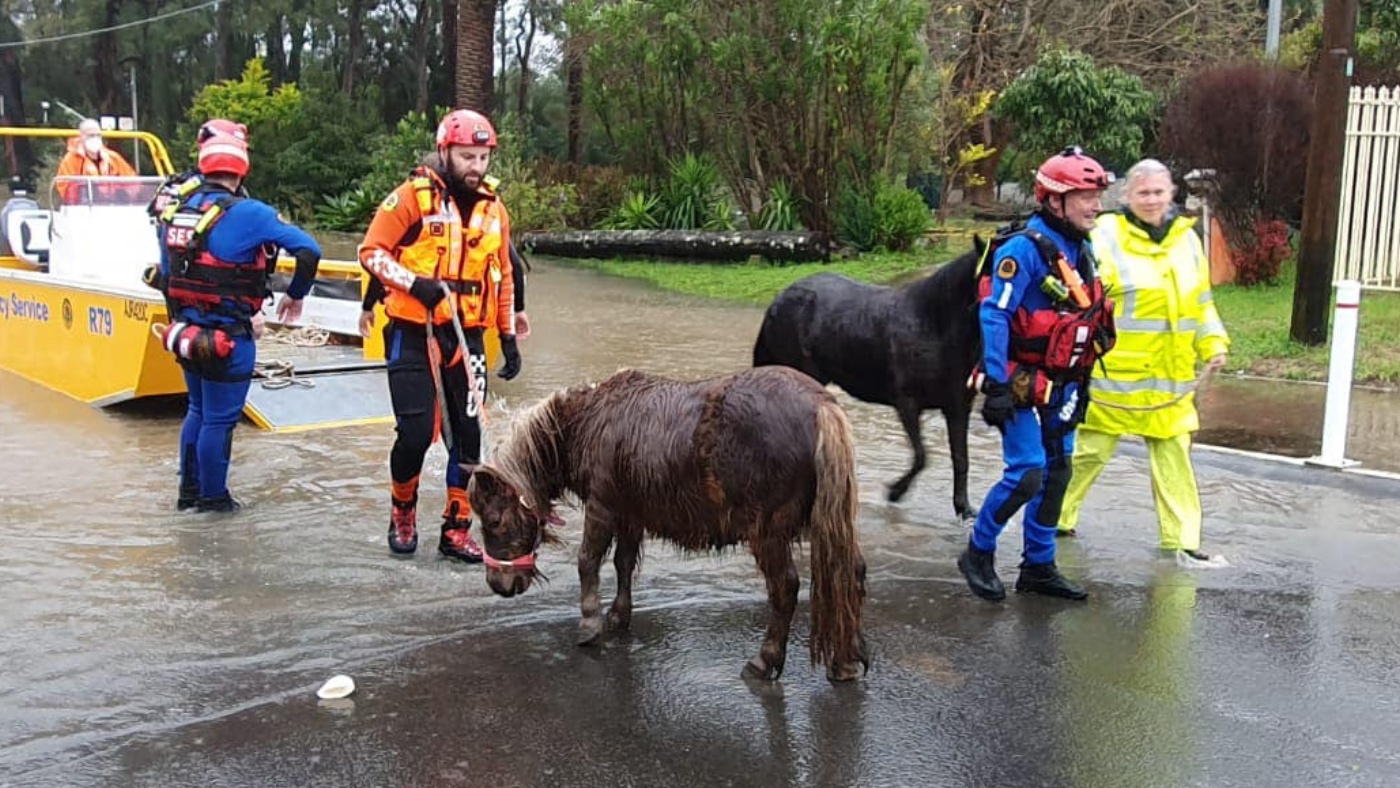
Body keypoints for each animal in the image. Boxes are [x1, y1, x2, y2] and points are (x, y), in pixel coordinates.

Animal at [464, 366, 868, 680]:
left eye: (494, 519)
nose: (499, 585)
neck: (588, 424)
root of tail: (821, 406)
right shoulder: (630, 515)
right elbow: (623, 564)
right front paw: (618, 617)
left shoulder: (602, 507)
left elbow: (587, 562)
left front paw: (590, 626)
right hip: (829, 522)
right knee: (850, 572)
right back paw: (846, 661)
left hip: (768, 533)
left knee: (785, 588)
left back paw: (764, 661)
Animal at [756, 240, 985, 523]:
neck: (933, 323)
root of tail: (779, 299)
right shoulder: (907, 403)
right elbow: (922, 456)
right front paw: (894, 493)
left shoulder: (958, 407)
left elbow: (961, 459)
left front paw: (965, 510)